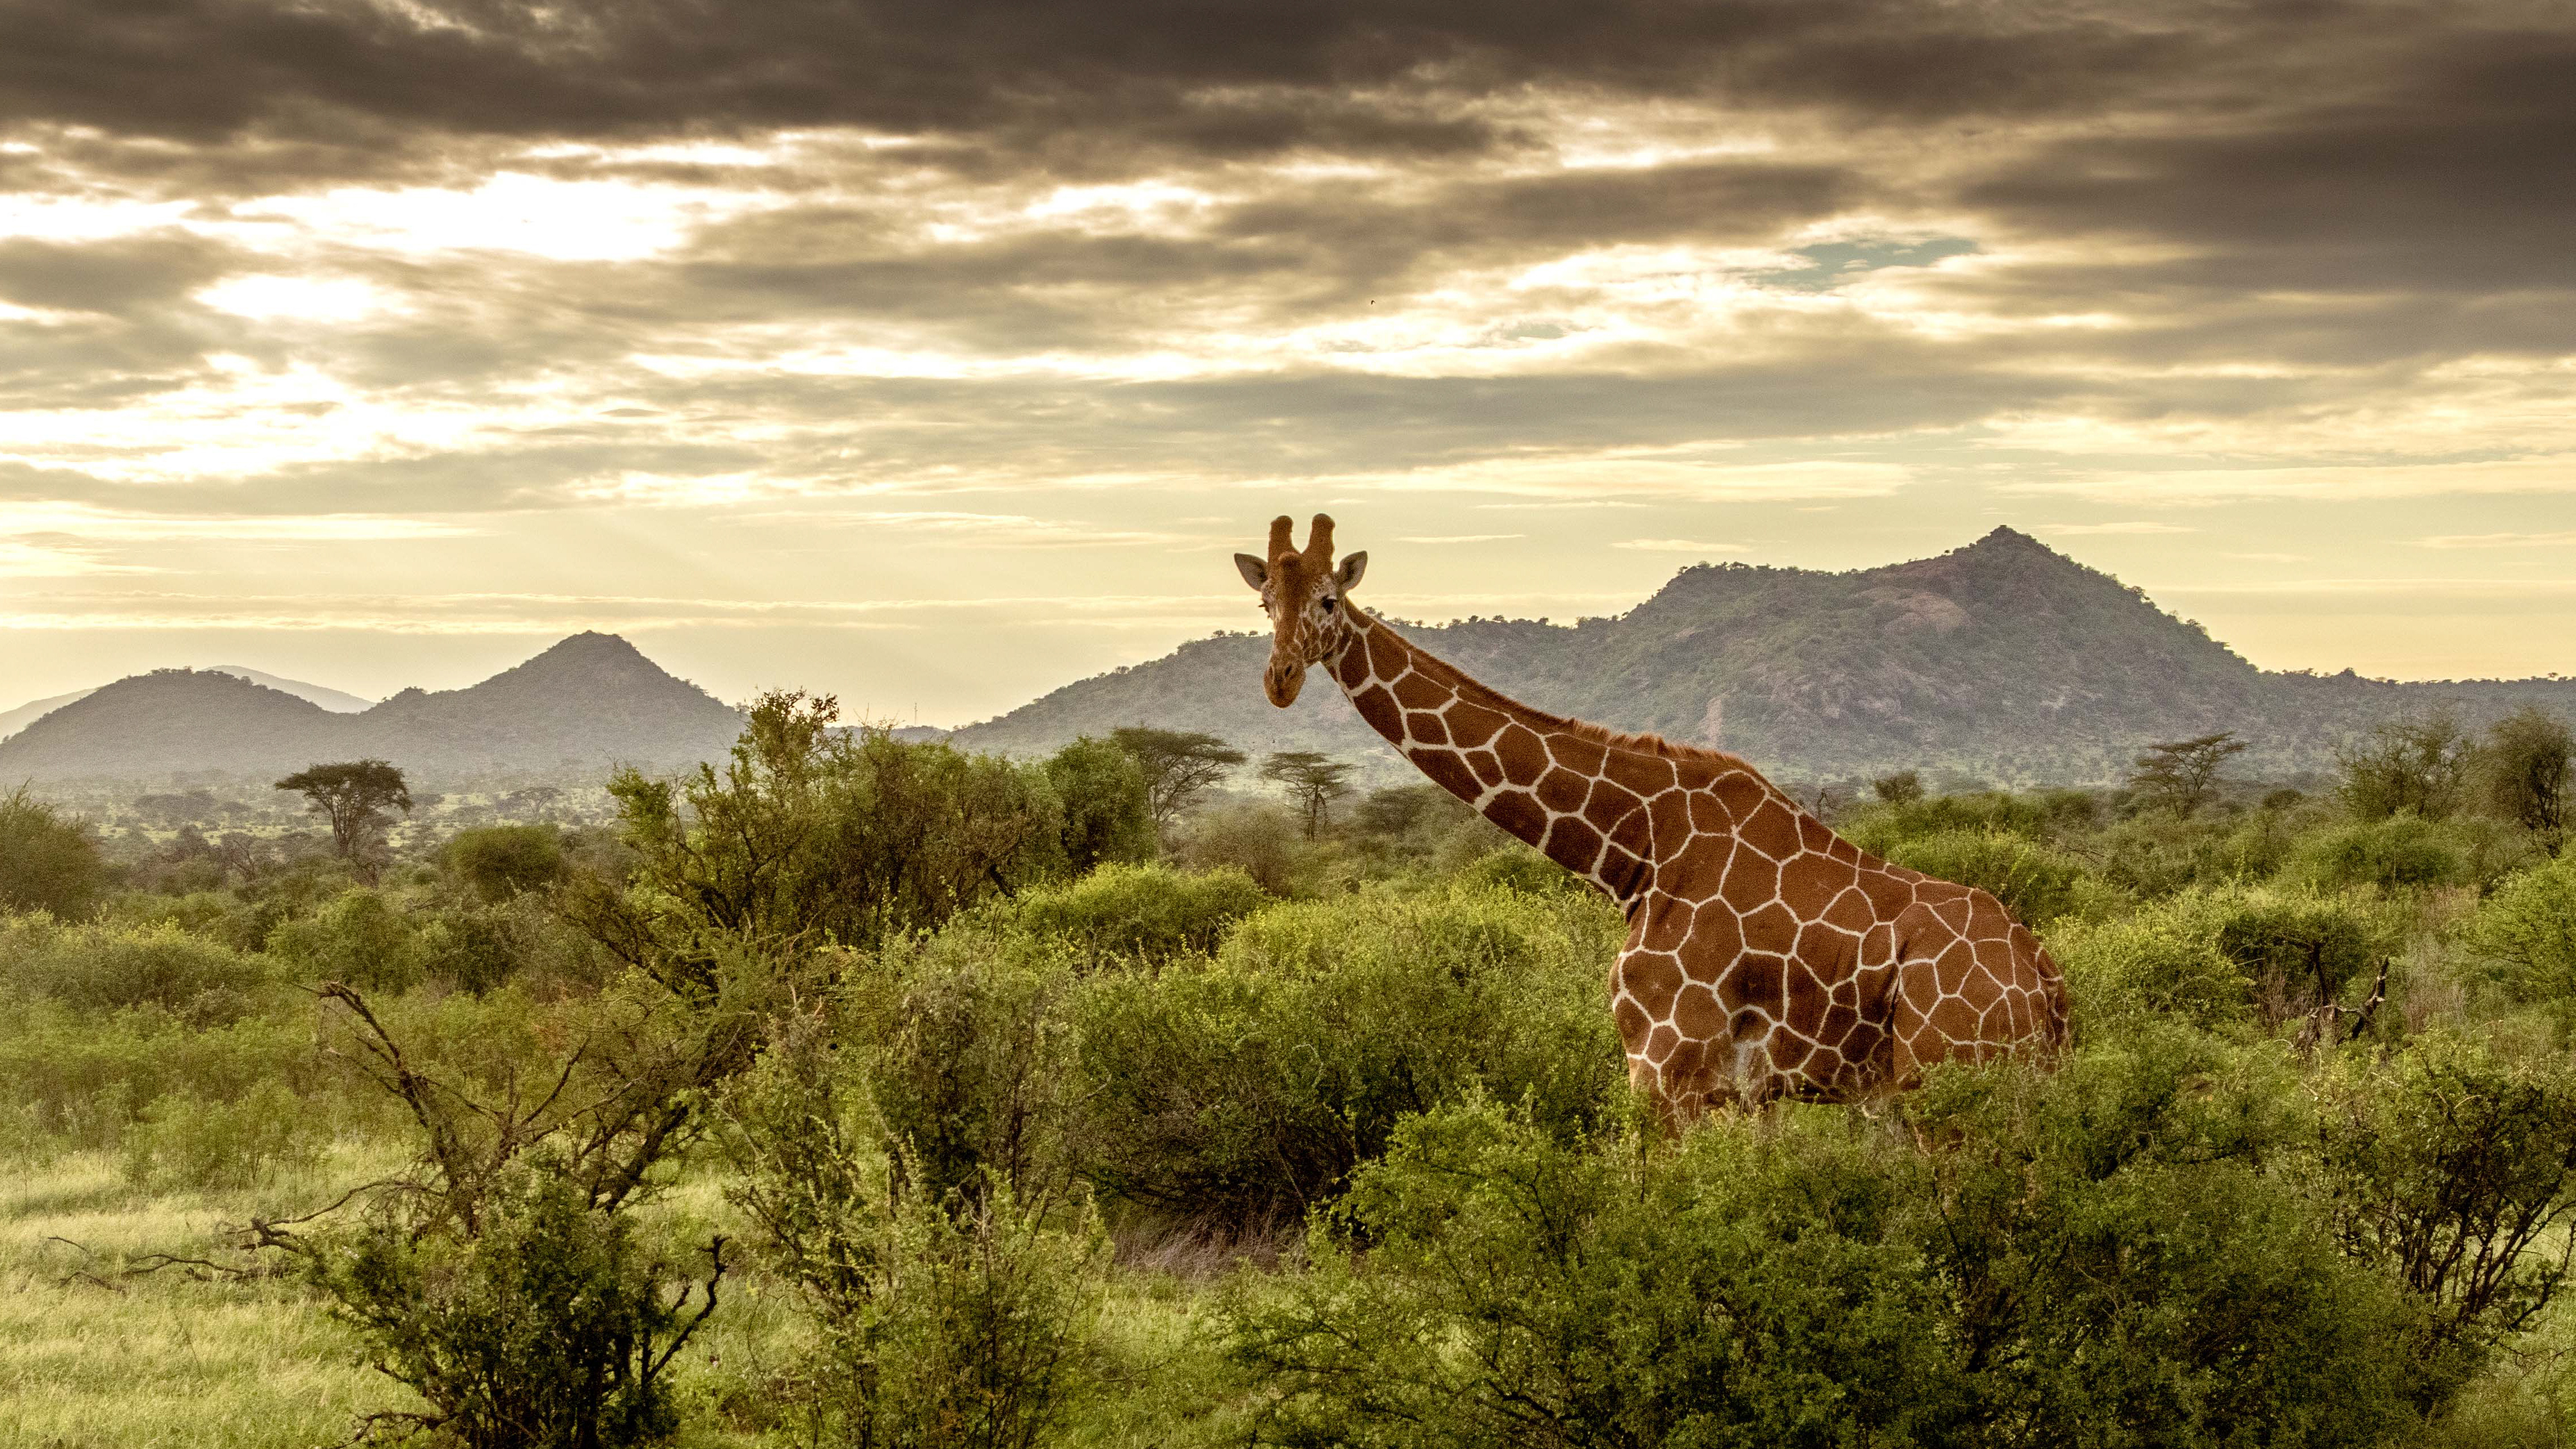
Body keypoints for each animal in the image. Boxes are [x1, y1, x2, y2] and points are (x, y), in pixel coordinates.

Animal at [1235, 514, 2068, 1119]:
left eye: (1329, 601)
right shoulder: (1745, 1097)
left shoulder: (1666, 1066)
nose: (1279, 679)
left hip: (1947, 1084)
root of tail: (2045, 978)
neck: (1635, 849)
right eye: (1265, 603)